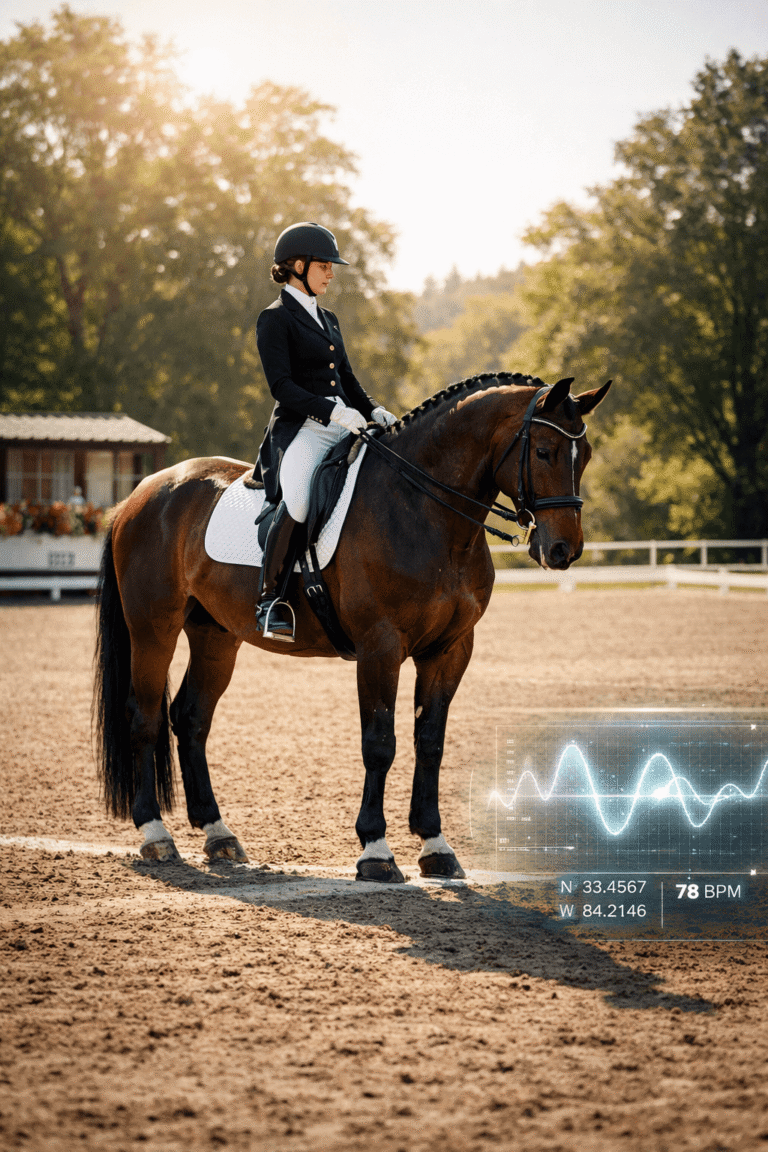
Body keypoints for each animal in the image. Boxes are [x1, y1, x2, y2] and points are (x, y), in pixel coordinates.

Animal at [94, 371, 610, 881]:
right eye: (542, 451)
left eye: (584, 455)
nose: (564, 551)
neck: (424, 511)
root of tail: (143, 491)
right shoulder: (380, 646)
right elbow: (380, 743)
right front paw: (376, 851)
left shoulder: (450, 650)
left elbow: (430, 742)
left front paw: (435, 846)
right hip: (153, 629)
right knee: (144, 716)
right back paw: (156, 834)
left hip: (215, 636)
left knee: (191, 717)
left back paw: (218, 834)